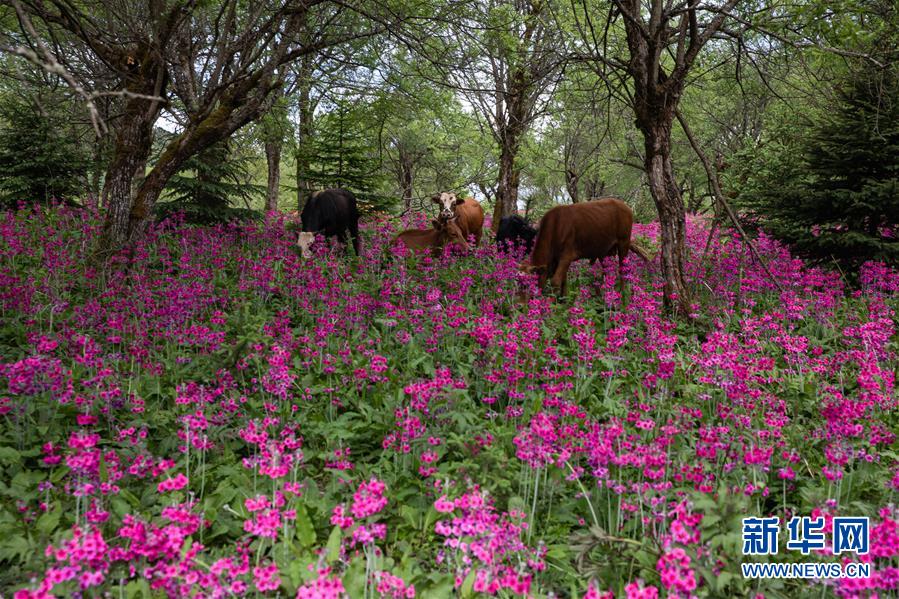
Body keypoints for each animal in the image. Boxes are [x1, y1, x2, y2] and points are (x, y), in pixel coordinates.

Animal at [520, 199, 648, 298]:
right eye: (518, 282)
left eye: (528, 284)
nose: (520, 305)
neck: (555, 226)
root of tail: (625, 206)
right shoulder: (559, 259)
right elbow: (563, 281)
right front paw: (563, 300)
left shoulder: (566, 256)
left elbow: (556, 281)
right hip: (603, 251)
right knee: (606, 271)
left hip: (623, 243)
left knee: (622, 269)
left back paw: (622, 293)